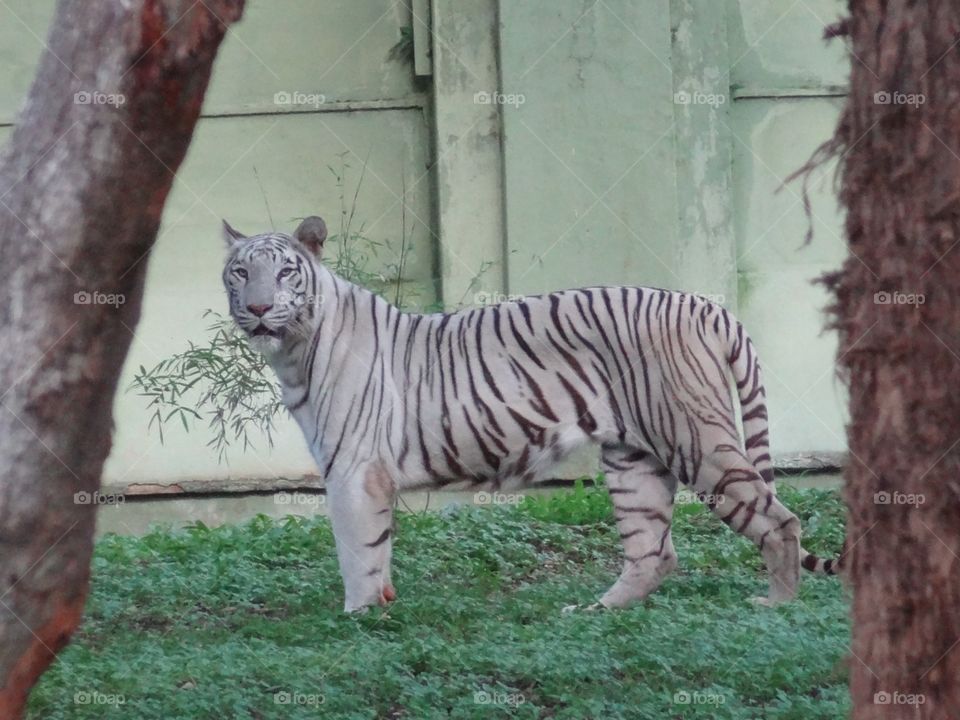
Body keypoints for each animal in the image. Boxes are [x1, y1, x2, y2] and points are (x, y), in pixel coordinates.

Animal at [221, 217, 836, 612]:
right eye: (239, 272)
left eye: (284, 273)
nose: (257, 309)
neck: (293, 350)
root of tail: (706, 304)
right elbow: (378, 550)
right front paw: (381, 607)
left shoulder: (353, 471)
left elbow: (358, 553)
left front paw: (359, 618)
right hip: (633, 459)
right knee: (655, 552)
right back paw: (597, 610)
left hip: (696, 442)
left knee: (779, 519)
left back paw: (776, 603)